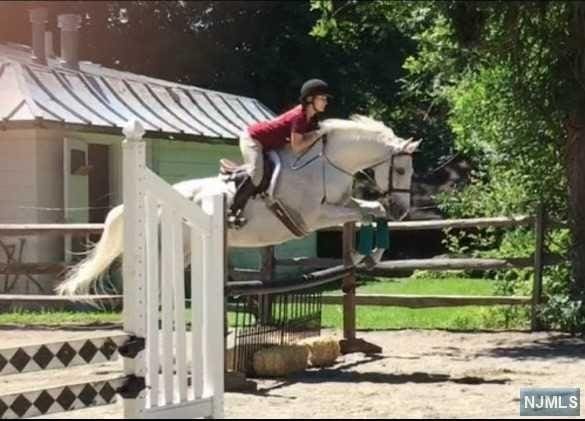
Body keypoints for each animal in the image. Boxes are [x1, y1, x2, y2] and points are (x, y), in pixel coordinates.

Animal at [56, 115, 420, 296]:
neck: (326, 162)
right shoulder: (315, 216)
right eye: (402, 170)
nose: (402, 210)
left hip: (185, 250)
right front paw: (366, 254)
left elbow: (371, 211)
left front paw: (369, 256)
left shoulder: (341, 203)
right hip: (166, 246)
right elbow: (364, 212)